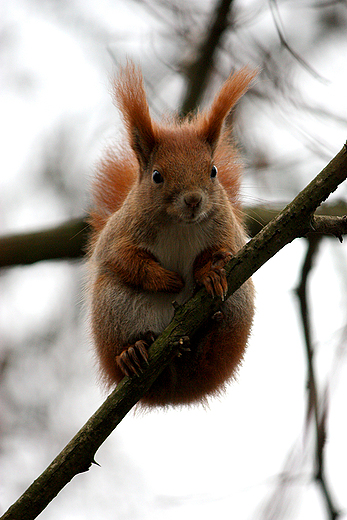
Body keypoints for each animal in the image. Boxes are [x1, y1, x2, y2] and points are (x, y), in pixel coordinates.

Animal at [87, 62, 256, 406]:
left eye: (213, 171)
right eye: (156, 176)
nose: (193, 200)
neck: (180, 224)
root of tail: (177, 391)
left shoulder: (227, 233)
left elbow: (222, 252)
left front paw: (210, 273)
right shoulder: (120, 233)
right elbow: (122, 259)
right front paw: (166, 280)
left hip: (238, 304)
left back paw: (209, 330)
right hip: (112, 306)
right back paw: (131, 353)